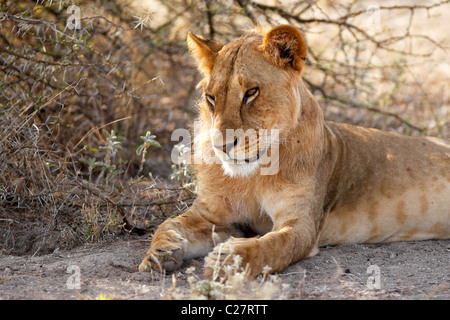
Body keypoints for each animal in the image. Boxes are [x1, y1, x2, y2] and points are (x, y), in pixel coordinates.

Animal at [139, 25, 450, 278]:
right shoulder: (212, 216)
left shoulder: (301, 224)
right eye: (211, 97)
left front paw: (230, 259)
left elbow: (273, 245)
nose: (221, 146)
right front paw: (160, 253)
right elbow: (168, 223)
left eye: (251, 92)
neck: (253, 175)